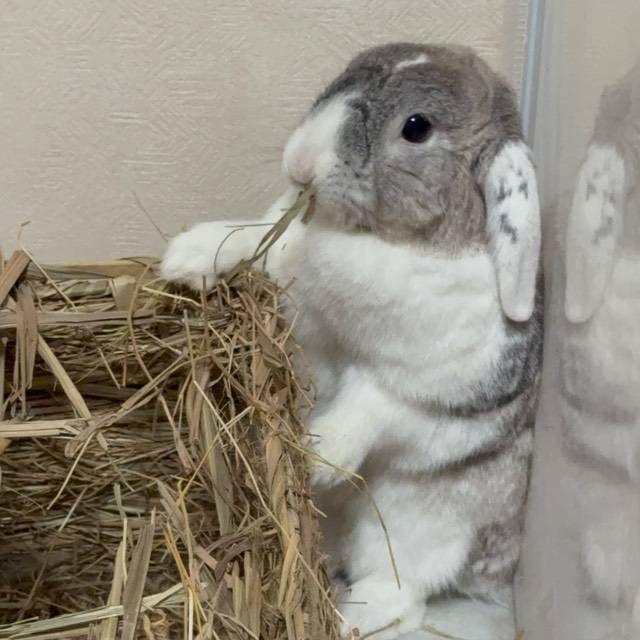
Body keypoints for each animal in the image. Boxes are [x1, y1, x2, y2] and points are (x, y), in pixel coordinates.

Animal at [161, 43, 543, 639]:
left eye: (417, 127)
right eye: (347, 73)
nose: (301, 163)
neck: (364, 236)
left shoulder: (418, 390)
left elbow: (368, 409)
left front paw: (312, 454)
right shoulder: (281, 253)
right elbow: (250, 238)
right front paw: (187, 257)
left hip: (419, 530)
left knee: (409, 592)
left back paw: (348, 614)